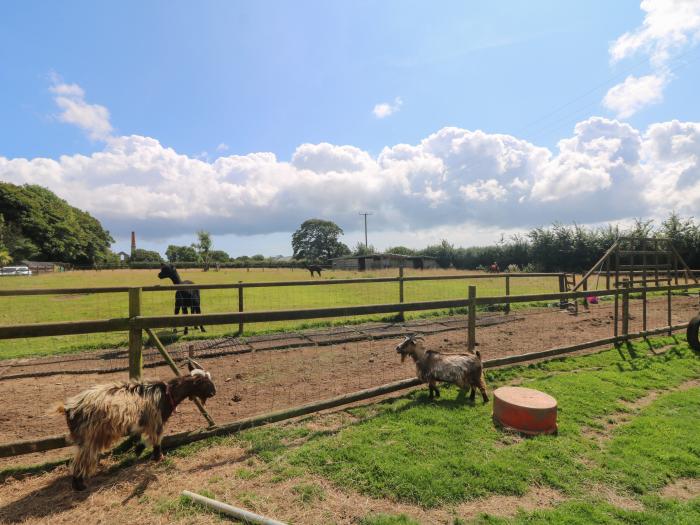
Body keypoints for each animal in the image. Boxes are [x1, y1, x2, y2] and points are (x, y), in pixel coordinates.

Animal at [56, 362, 216, 490]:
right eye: (204, 382)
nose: (214, 392)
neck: (166, 394)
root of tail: (68, 408)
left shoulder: (142, 423)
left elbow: (141, 438)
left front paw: (138, 450)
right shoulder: (156, 421)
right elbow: (156, 440)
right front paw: (158, 457)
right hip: (89, 436)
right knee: (80, 460)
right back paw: (79, 485)